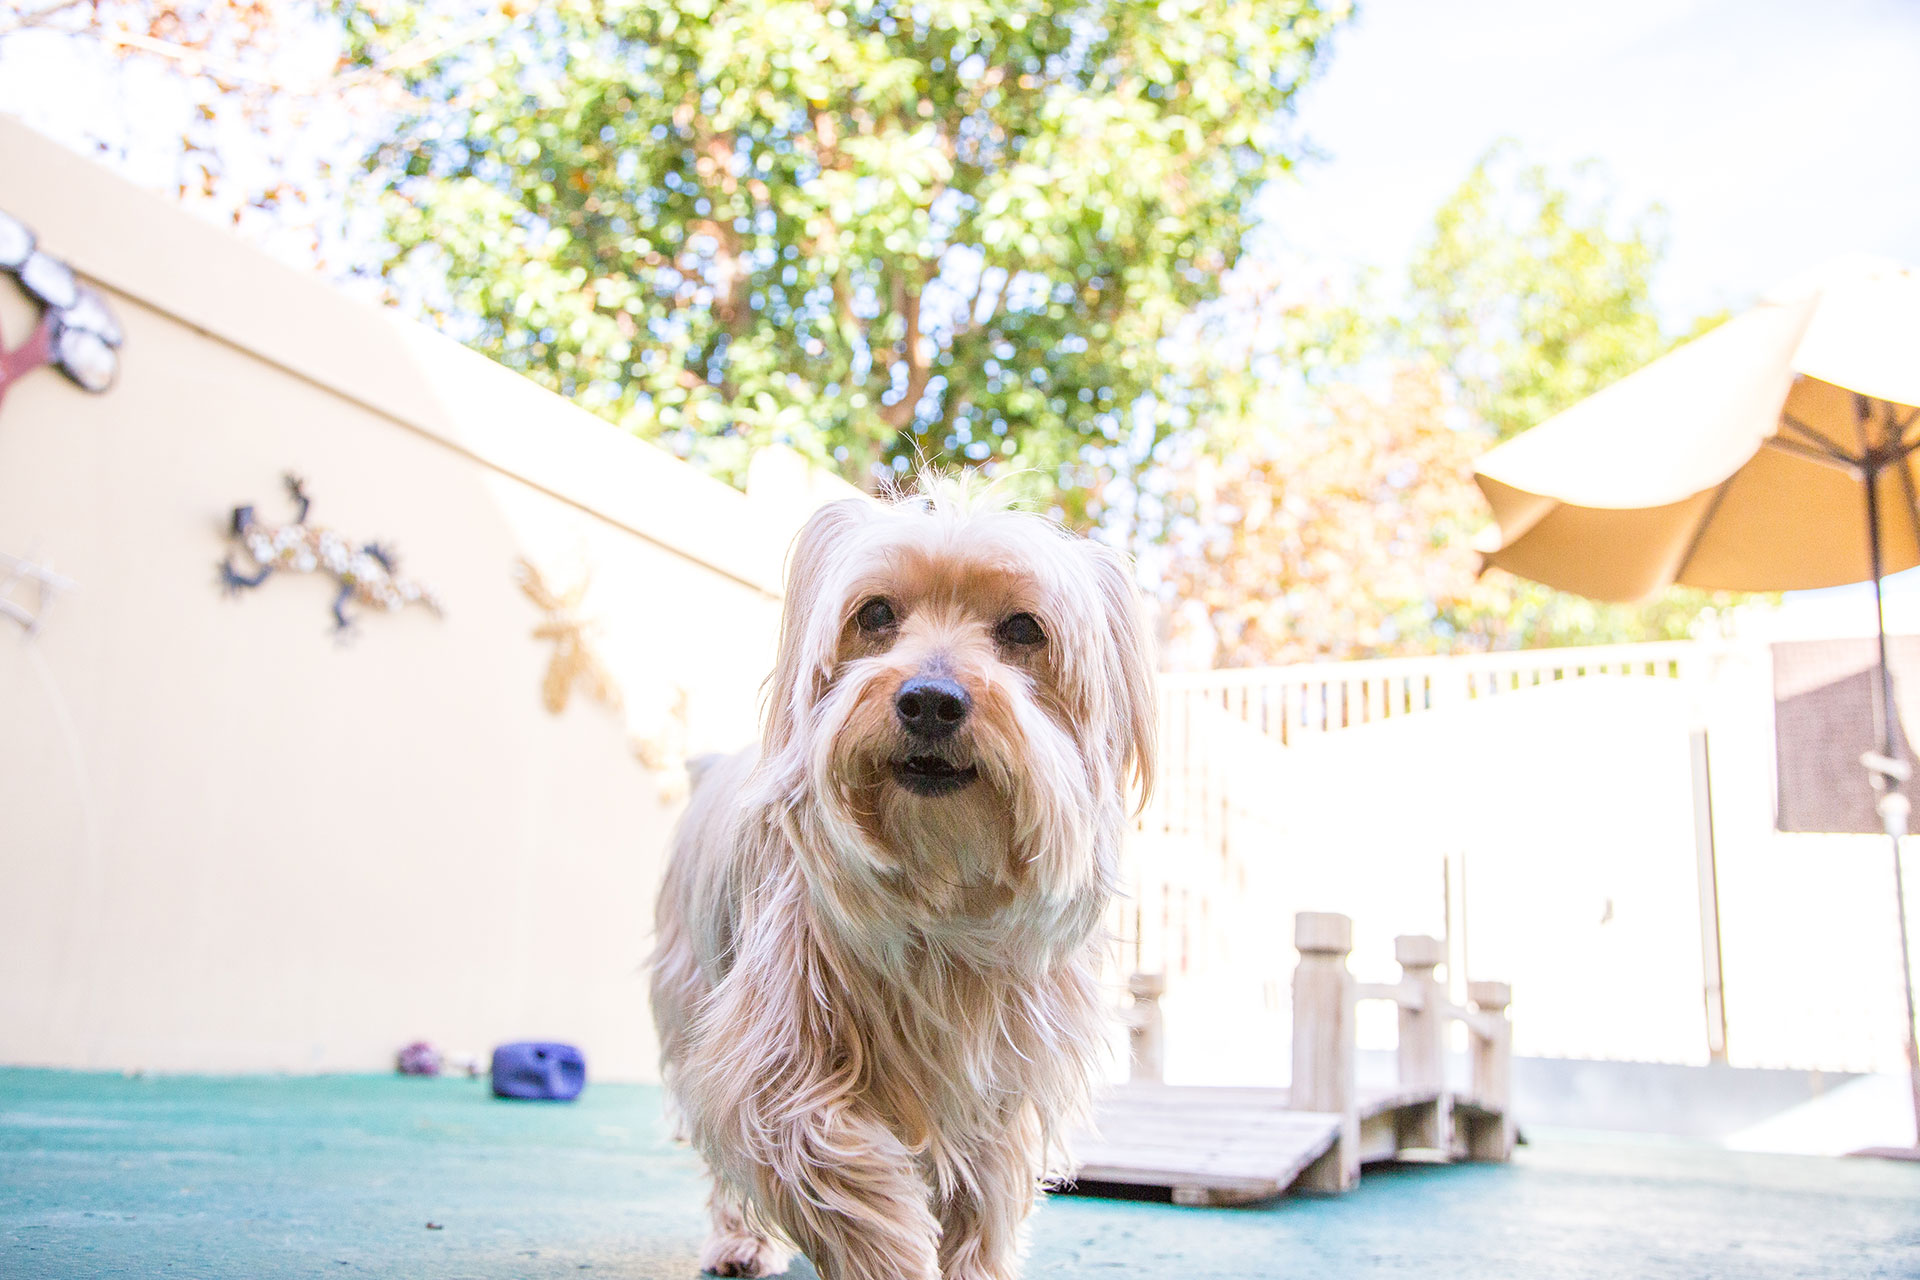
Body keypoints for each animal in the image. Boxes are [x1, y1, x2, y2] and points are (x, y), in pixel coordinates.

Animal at [649, 481, 1155, 1280]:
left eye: (1024, 628)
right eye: (877, 614)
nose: (930, 700)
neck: (939, 881)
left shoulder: (1001, 1080)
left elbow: (985, 1197)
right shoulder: (775, 1055)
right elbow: (826, 1159)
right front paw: (893, 1250)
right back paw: (740, 1242)